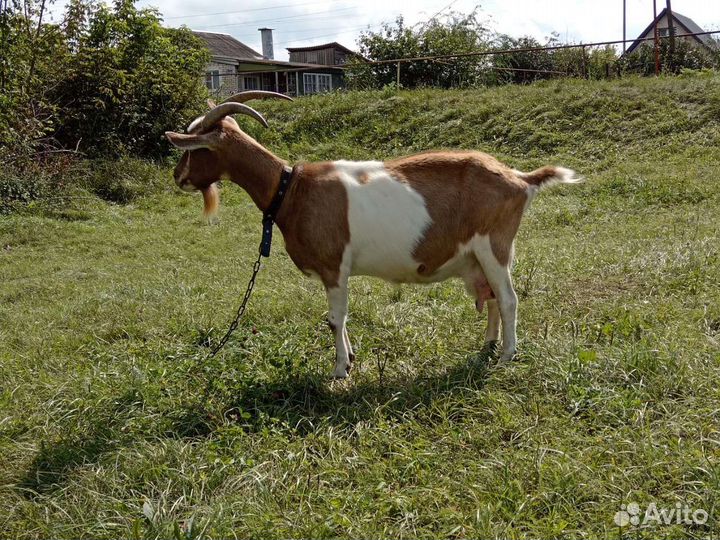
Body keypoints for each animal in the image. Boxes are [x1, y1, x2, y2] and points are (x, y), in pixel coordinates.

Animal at [165, 91, 581, 379]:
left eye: (197, 147)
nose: (178, 177)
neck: (291, 188)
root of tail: (520, 179)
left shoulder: (334, 267)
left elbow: (335, 318)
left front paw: (338, 370)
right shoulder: (335, 272)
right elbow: (339, 318)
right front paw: (349, 359)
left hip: (494, 245)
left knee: (508, 299)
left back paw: (508, 355)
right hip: (476, 257)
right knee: (492, 297)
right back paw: (489, 344)